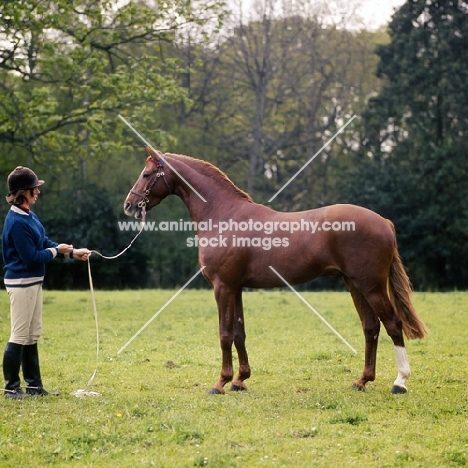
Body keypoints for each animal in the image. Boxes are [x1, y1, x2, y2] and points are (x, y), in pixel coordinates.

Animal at [123, 146, 428, 394]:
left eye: (147, 174)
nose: (129, 205)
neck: (224, 215)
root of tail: (384, 222)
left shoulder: (223, 287)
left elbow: (224, 334)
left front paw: (220, 382)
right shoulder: (236, 288)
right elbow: (239, 332)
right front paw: (240, 380)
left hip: (371, 286)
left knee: (393, 324)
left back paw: (400, 382)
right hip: (355, 285)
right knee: (371, 327)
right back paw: (362, 380)